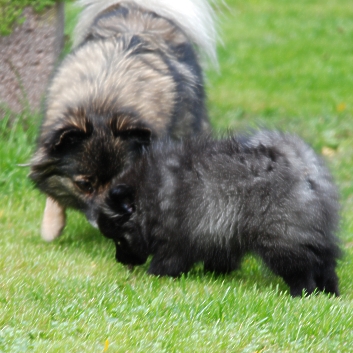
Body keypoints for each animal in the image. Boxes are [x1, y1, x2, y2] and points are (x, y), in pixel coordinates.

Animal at [28, 0, 216, 239]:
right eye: (85, 185)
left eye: (121, 184)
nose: (104, 224)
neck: (102, 102)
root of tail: (137, 8)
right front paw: (51, 225)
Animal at [97, 131, 340, 296]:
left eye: (119, 240)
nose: (119, 260)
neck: (151, 196)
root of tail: (302, 167)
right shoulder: (220, 234)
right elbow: (220, 258)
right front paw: (213, 274)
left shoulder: (176, 240)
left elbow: (167, 262)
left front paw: (153, 276)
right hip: (312, 234)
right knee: (326, 263)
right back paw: (330, 292)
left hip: (281, 239)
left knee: (301, 269)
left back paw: (301, 293)